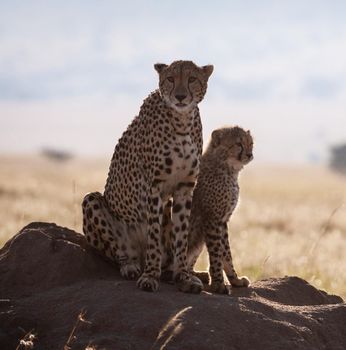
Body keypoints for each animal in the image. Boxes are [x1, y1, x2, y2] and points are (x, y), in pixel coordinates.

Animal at [82, 60, 212, 292]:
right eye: (170, 79)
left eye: (192, 79)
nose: (180, 96)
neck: (182, 121)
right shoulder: (155, 186)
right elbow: (153, 234)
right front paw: (150, 276)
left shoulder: (185, 187)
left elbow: (181, 234)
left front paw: (184, 276)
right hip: (92, 201)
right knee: (119, 252)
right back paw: (132, 266)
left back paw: (176, 272)